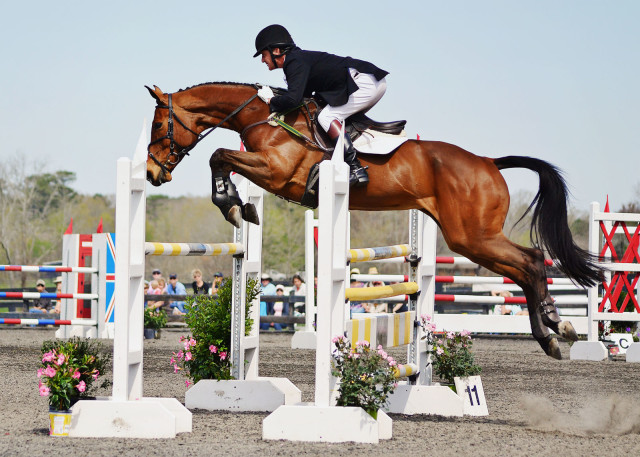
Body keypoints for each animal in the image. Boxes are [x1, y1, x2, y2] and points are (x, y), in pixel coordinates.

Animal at [144, 83, 600, 360]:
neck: (267, 119)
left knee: (531, 261)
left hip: (471, 237)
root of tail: (488, 162)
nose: (151, 173)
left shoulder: (275, 172)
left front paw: (233, 203)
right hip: (471, 237)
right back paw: (554, 330)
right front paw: (238, 204)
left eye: (158, 124)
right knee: (527, 265)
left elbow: (218, 154)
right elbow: (220, 157)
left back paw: (555, 329)